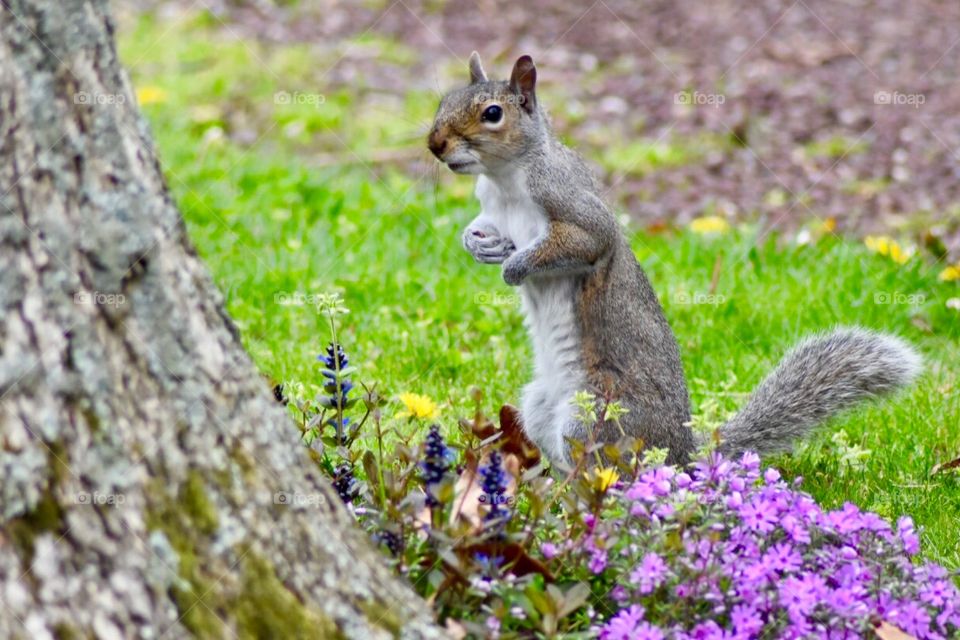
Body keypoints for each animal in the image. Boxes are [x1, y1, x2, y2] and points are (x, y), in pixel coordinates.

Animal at [428, 52, 924, 468]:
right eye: (444, 99)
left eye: (493, 113)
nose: (435, 144)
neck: (505, 178)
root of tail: (680, 453)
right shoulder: (491, 208)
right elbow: (480, 228)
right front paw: (477, 245)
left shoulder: (570, 203)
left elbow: (584, 241)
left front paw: (516, 266)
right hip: (539, 407)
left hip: (594, 417)